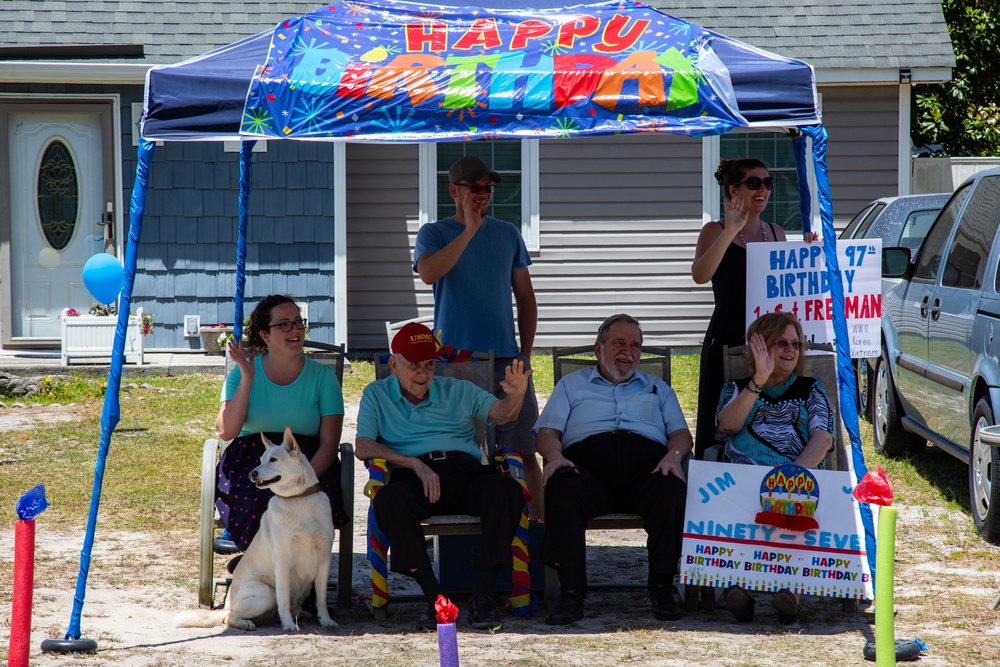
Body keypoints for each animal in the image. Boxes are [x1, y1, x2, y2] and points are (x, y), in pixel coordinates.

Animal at [176, 428, 336, 632]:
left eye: (273, 460)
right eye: (261, 459)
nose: (252, 473)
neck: (298, 499)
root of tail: (227, 604)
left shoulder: (324, 558)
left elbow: (322, 598)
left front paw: (326, 620)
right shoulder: (283, 561)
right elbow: (283, 598)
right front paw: (288, 625)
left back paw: (297, 614)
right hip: (266, 594)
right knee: (229, 617)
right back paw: (247, 622)